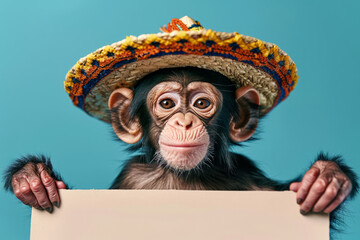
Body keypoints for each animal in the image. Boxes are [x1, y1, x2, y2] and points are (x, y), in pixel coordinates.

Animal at [2, 67, 358, 227]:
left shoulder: (248, 177)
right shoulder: (131, 180)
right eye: (167, 103)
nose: (184, 122)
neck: (186, 178)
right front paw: (33, 180)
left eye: (201, 103)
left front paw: (326, 179)